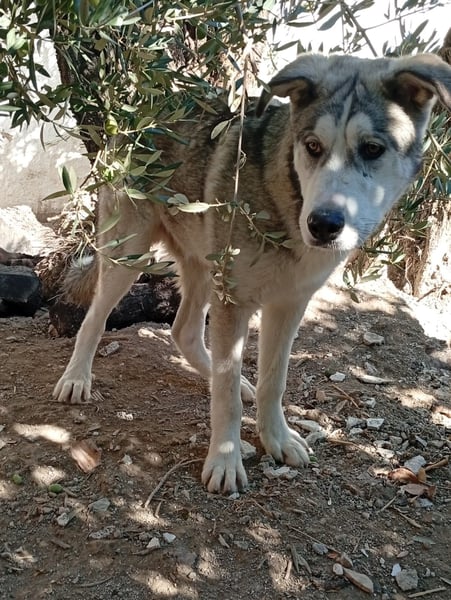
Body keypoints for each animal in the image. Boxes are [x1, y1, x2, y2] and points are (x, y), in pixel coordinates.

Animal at [53, 53, 451, 494]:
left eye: (372, 149)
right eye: (313, 146)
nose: (323, 225)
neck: (287, 199)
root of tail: (141, 107)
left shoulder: (289, 304)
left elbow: (272, 381)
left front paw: (276, 438)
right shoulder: (236, 302)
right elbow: (225, 395)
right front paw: (225, 460)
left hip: (204, 269)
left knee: (183, 331)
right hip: (129, 255)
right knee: (94, 318)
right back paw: (76, 379)